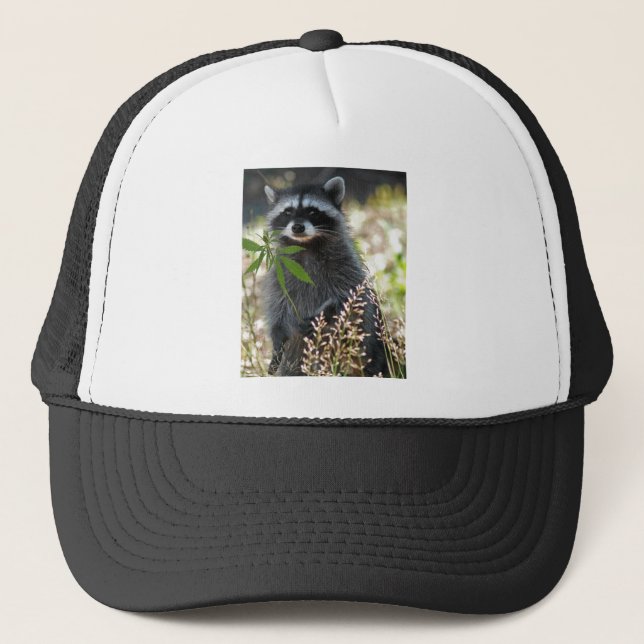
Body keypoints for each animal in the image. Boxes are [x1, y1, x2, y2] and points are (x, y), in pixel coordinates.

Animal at [262, 176, 388, 377]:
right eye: (288, 211)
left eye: (313, 211)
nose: (297, 227)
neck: (306, 245)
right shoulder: (280, 272)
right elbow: (278, 304)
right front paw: (277, 334)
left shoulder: (345, 264)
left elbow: (349, 297)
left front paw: (322, 314)